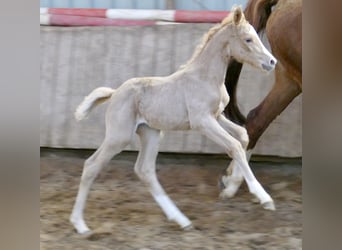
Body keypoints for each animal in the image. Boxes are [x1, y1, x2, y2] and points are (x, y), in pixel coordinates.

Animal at [71, 7, 276, 234]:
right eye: (248, 39)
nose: (272, 62)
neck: (205, 77)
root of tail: (114, 93)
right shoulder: (202, 121)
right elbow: (234, 146)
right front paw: (263, 197)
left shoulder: (217, 116)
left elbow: (243, 135)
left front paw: (231, 183)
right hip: (118, 137)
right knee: (92, 165)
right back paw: (80, 224)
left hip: (151, 133)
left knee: (145, 170)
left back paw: (181, 219)